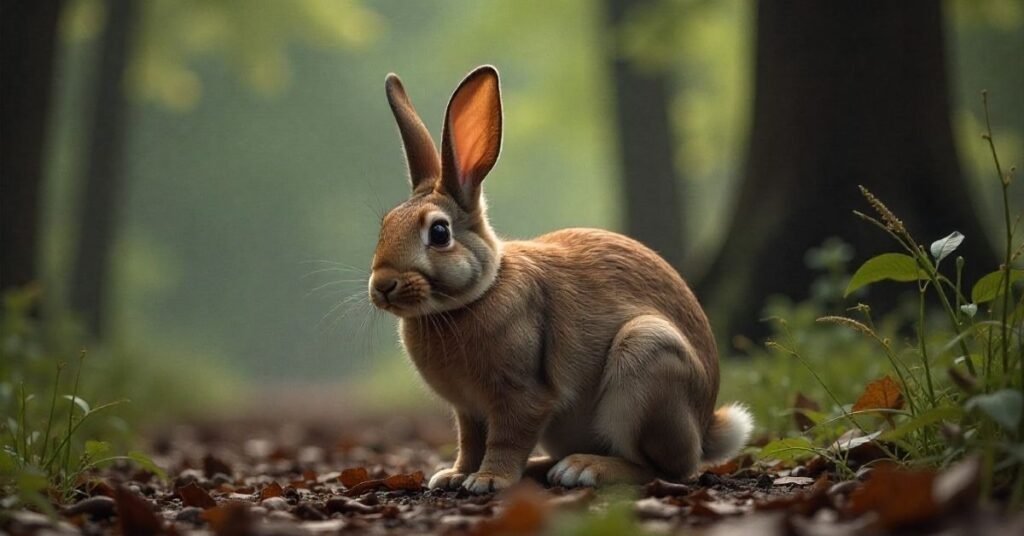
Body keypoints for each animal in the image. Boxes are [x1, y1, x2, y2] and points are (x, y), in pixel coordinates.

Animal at [369, 65, 753, 494]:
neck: (477, 294)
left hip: (649, 359)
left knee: (662, 469)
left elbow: (506, 439)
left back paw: (584, 469)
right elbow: (469, 442)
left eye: (439, 233)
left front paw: (488, 479)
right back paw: (546, 467)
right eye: (385, 226)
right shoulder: (468, 411)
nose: (382, 286)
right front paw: (453, 476)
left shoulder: (522, 396)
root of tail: (705, 429)